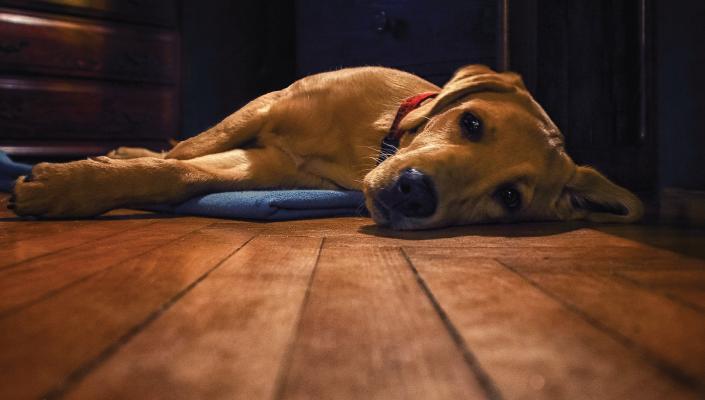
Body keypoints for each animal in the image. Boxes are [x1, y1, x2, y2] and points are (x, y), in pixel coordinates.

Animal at [6, 65, 644, 228]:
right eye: (471, 124)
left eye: (510, 198)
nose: (414, 194)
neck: (368, 141)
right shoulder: (266, 105)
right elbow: (180, 156)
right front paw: (83, 175)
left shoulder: (268, 165)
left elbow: (183, 173)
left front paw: (74, 184)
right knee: (180, 144)